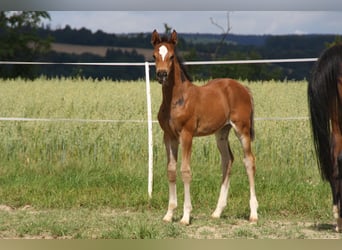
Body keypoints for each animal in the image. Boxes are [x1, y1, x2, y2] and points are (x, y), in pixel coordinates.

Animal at [151, 29, 258, 225]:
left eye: (171, 56)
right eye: (154, 55)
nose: (162, 74)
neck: (176, 99)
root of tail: (243, 88)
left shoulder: (186, 134)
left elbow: (185, 171)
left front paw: (185, 216)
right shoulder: (169, 136)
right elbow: (171, 170)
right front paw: (169, 214)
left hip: (242, 130)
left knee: (249, 161)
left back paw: (253, 214)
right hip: (221, 132)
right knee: (228, 160)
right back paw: (217, 212)